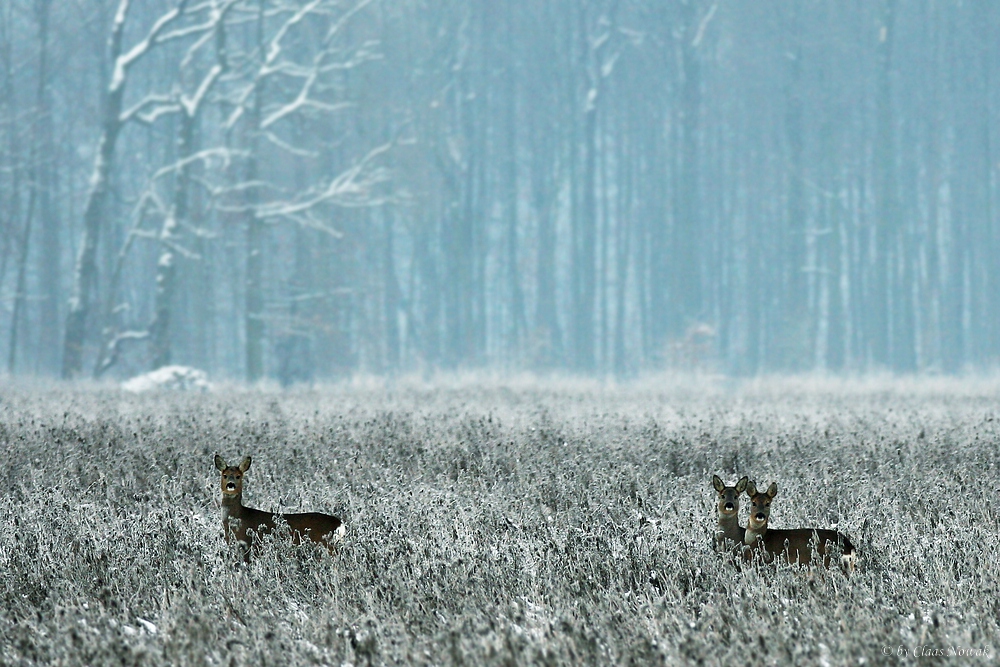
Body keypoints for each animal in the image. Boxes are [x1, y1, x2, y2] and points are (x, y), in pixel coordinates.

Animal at [215, 454, 348, 560]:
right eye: (225, 475)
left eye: (238, 476)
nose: (230, 485)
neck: (237, 519)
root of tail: (339, 524)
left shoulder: (248, 544)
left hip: (327, 545)